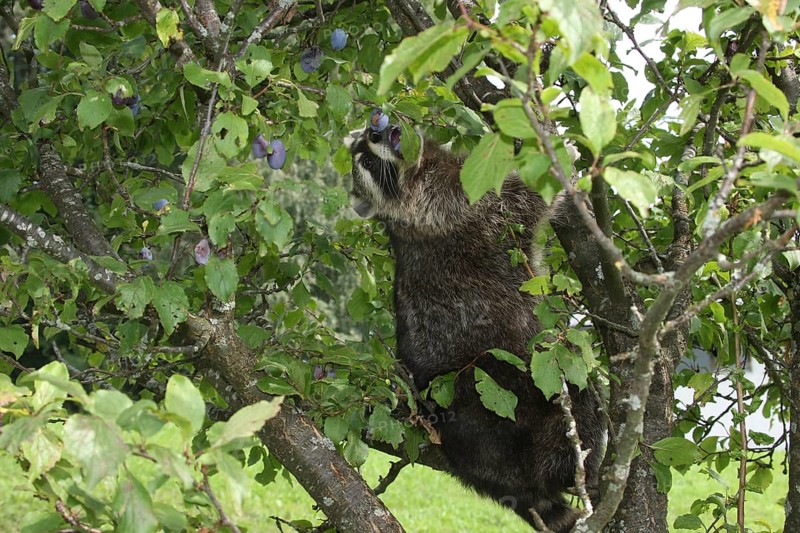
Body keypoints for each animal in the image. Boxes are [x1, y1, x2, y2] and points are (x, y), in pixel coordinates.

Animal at [347, 124, 604, 532]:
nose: (378, 128)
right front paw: (559, 151)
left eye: (364, 143)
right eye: (368, 163)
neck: (422, 166)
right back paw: (587, 462)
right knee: (581, 404)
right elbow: (525, 196)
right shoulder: (454, 205)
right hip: (520, 394)